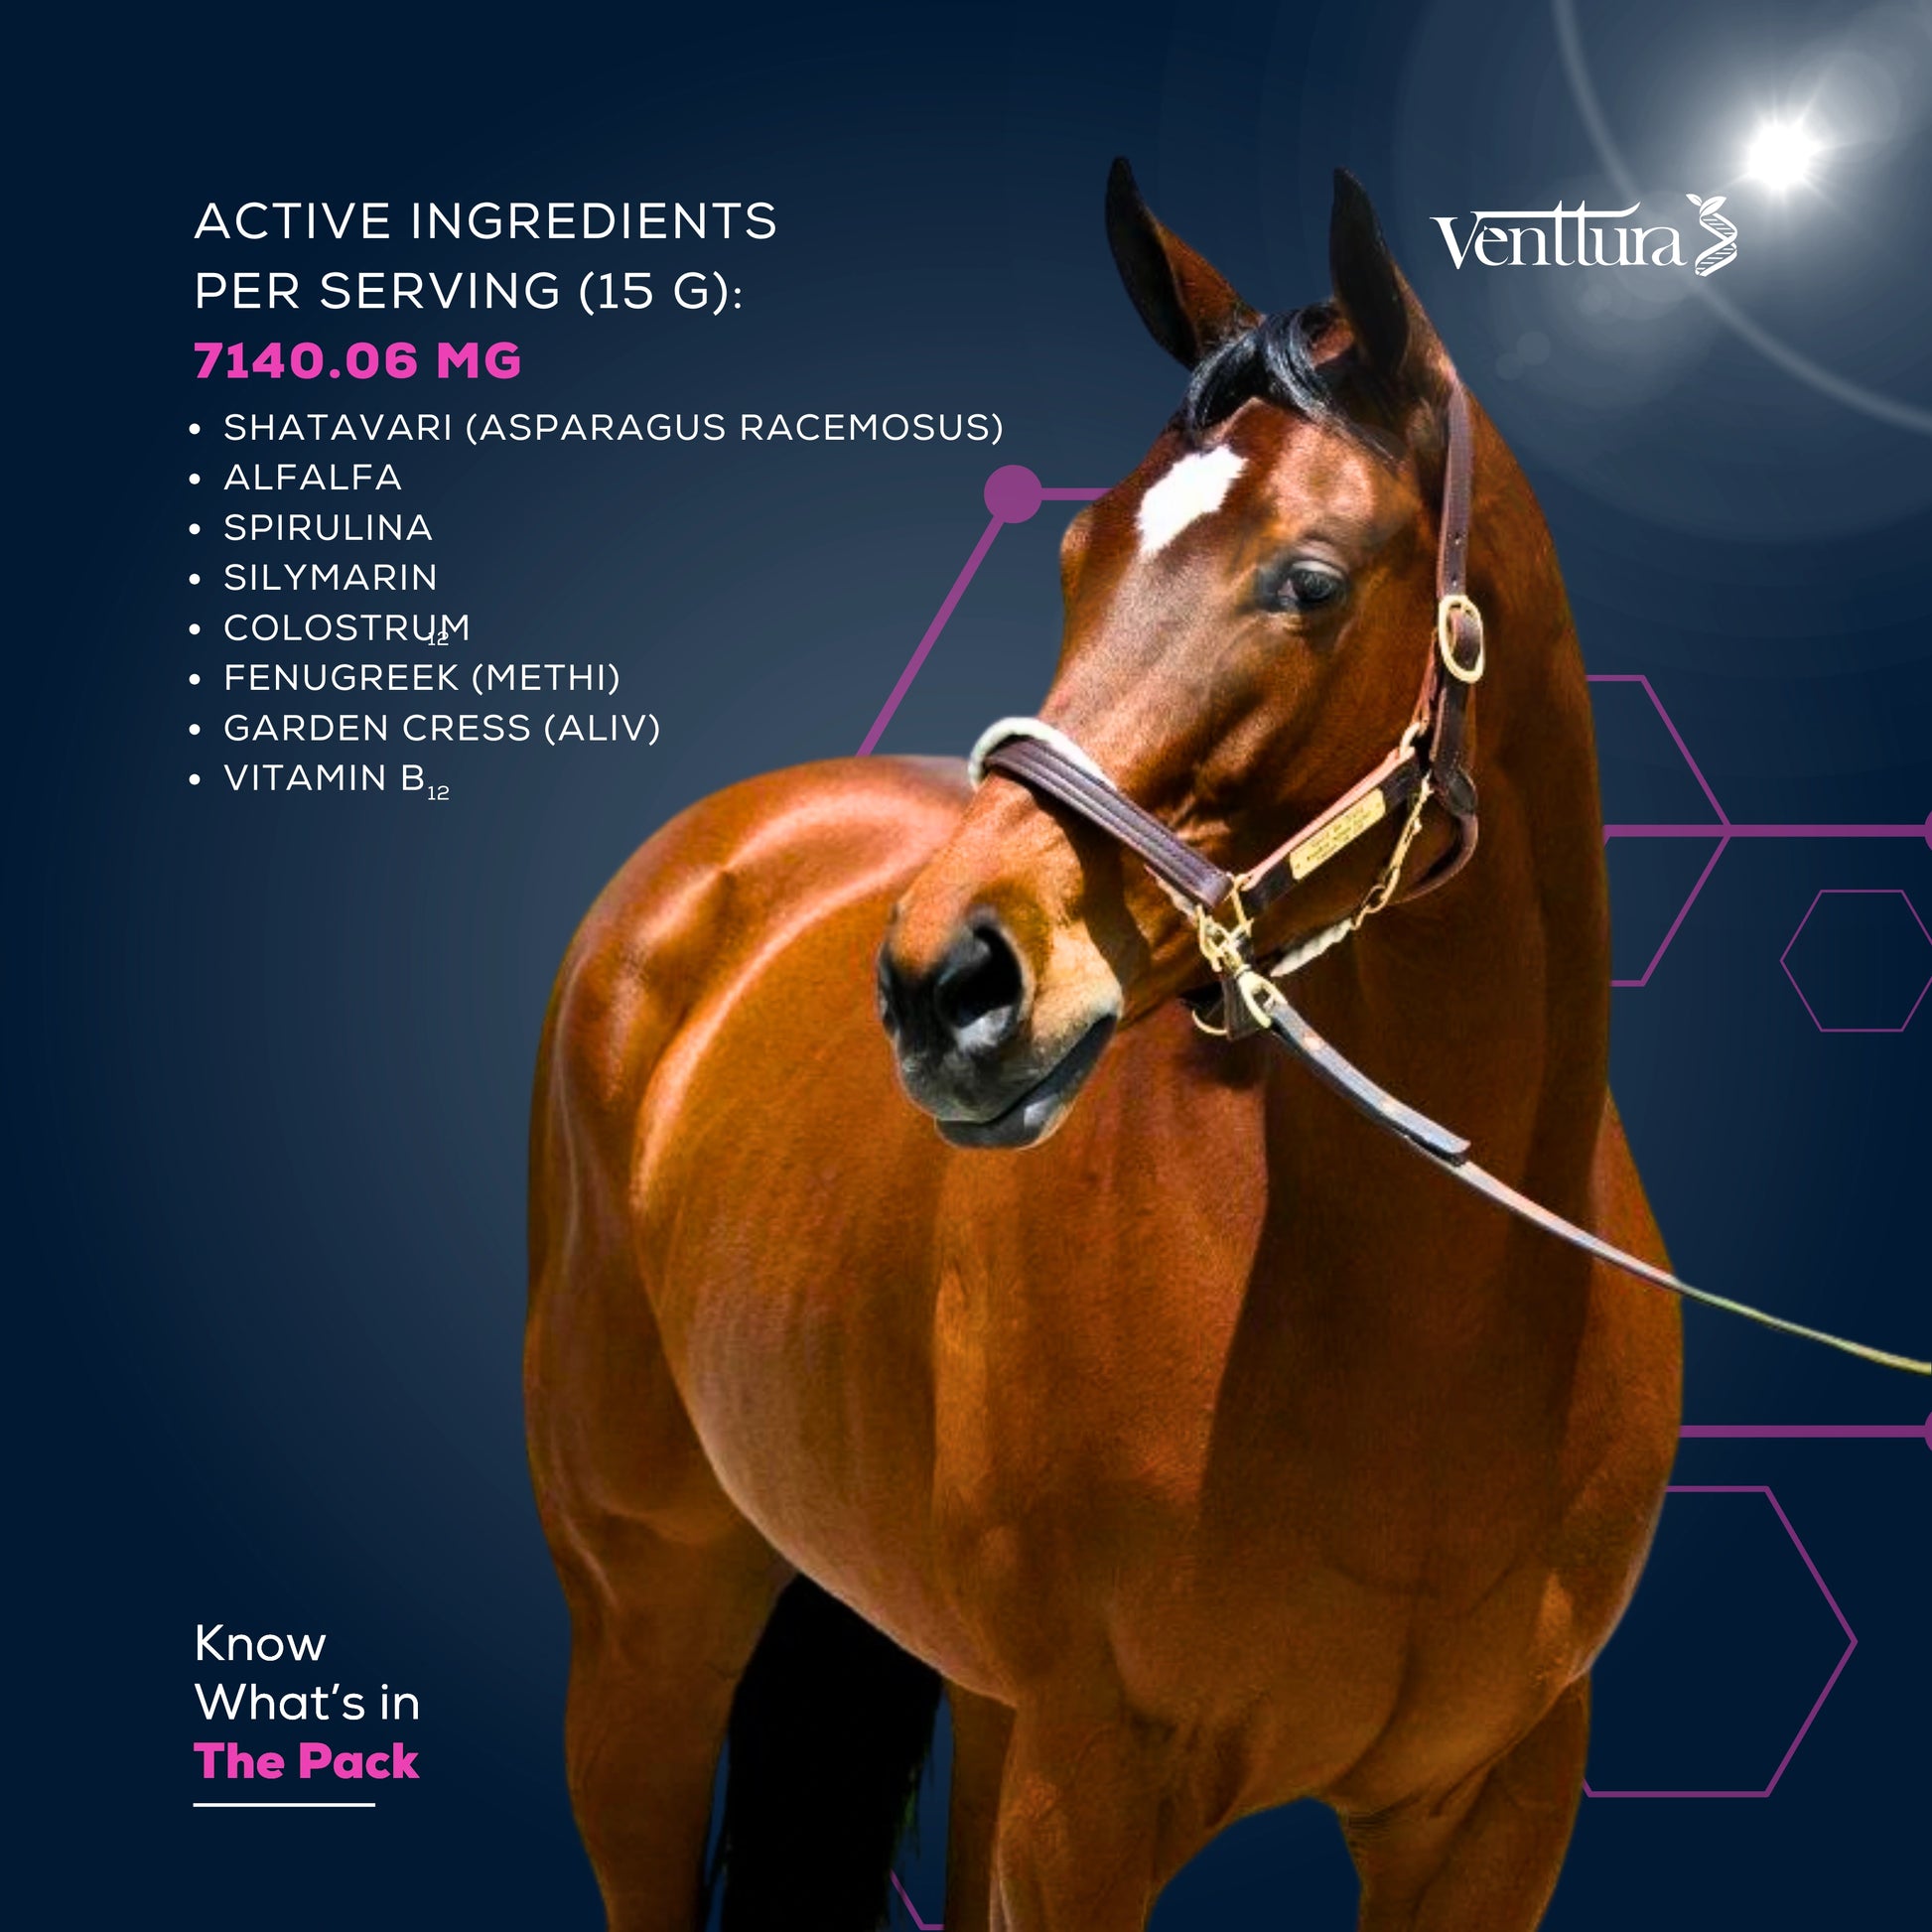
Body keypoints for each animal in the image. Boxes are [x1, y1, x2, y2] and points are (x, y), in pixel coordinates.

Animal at [525, 161, 1682, 1932]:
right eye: (1074, 555)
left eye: (1308, 578)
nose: (944, 981)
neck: (1434, 1331)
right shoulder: (1089, 1803)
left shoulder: (1494, 1806)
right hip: (643, 1623)